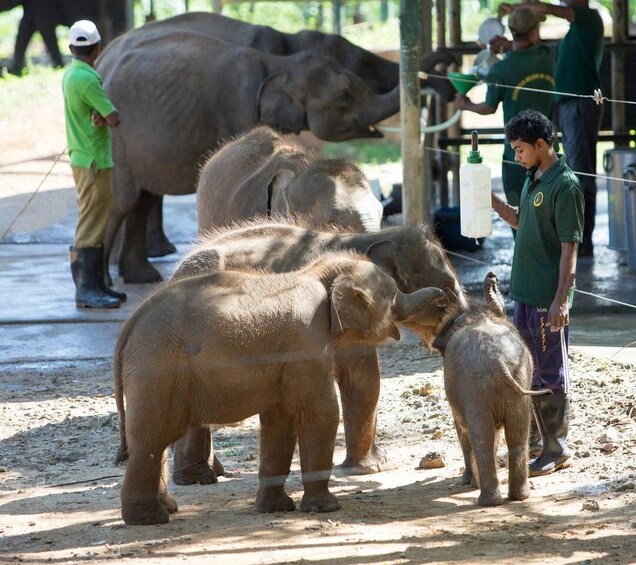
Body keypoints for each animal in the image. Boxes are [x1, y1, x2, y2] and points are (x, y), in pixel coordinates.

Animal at [112, 251, 444, 524]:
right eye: (394, 294)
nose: (443, 297)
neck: (318, 272)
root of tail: (130, 324)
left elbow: (280, 420)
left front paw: (275, 508)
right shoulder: (307, 341)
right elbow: (321, 412)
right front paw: (325, 508)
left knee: (154, 441)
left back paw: (166, 509)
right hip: (158, 370)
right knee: (151, 438)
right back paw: (149, 519)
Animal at [432, 270, 552, 504]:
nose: (492, 277)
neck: (478, 314)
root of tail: (498, 359)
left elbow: (462, 430)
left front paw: (466, 482)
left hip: (475, 390)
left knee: (481, 438)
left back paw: (486, 499)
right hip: (517, 384)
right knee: (516, 436)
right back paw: (518, 497)